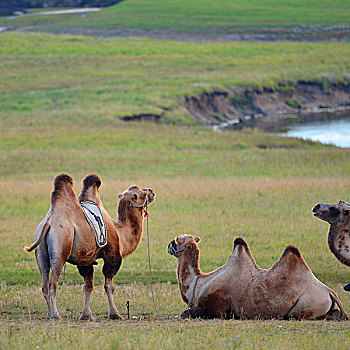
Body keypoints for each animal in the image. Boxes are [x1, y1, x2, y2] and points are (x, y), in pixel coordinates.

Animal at [23, 173, 155, 320]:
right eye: (142, 193)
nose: (151, 191)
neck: (120, 231)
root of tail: (49, 222)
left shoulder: (85, 260)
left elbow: (88, 286)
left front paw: (86, 315)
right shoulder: (112, 254)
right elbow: (109, 286)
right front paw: (115, 314)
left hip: (40, 252)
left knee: (44, 283)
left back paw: (48, 314)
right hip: (59, 248)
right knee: (53, 283)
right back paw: (56, 315)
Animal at [167, 235, 348, 320]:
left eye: (177, 240)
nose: (168, 245)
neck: (199, 284)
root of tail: (329, 291)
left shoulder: (216, 306)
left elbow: (187, 313)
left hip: (306, 304)